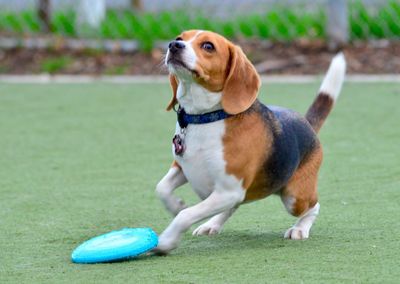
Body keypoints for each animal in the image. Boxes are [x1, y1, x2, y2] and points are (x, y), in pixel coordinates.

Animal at [155, 30, 346, 254]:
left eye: (208, 46)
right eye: (180, 38)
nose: (173, 45)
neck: (205, 117)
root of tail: (306, 122)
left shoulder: (229, 189)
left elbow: (185, 215)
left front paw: (166, 240)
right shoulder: (183, 168)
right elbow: (161, 188)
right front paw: (175, 205)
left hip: (294, 196)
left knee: (313, 206)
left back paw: (300, 229)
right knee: (231, 208)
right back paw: (211, 224)